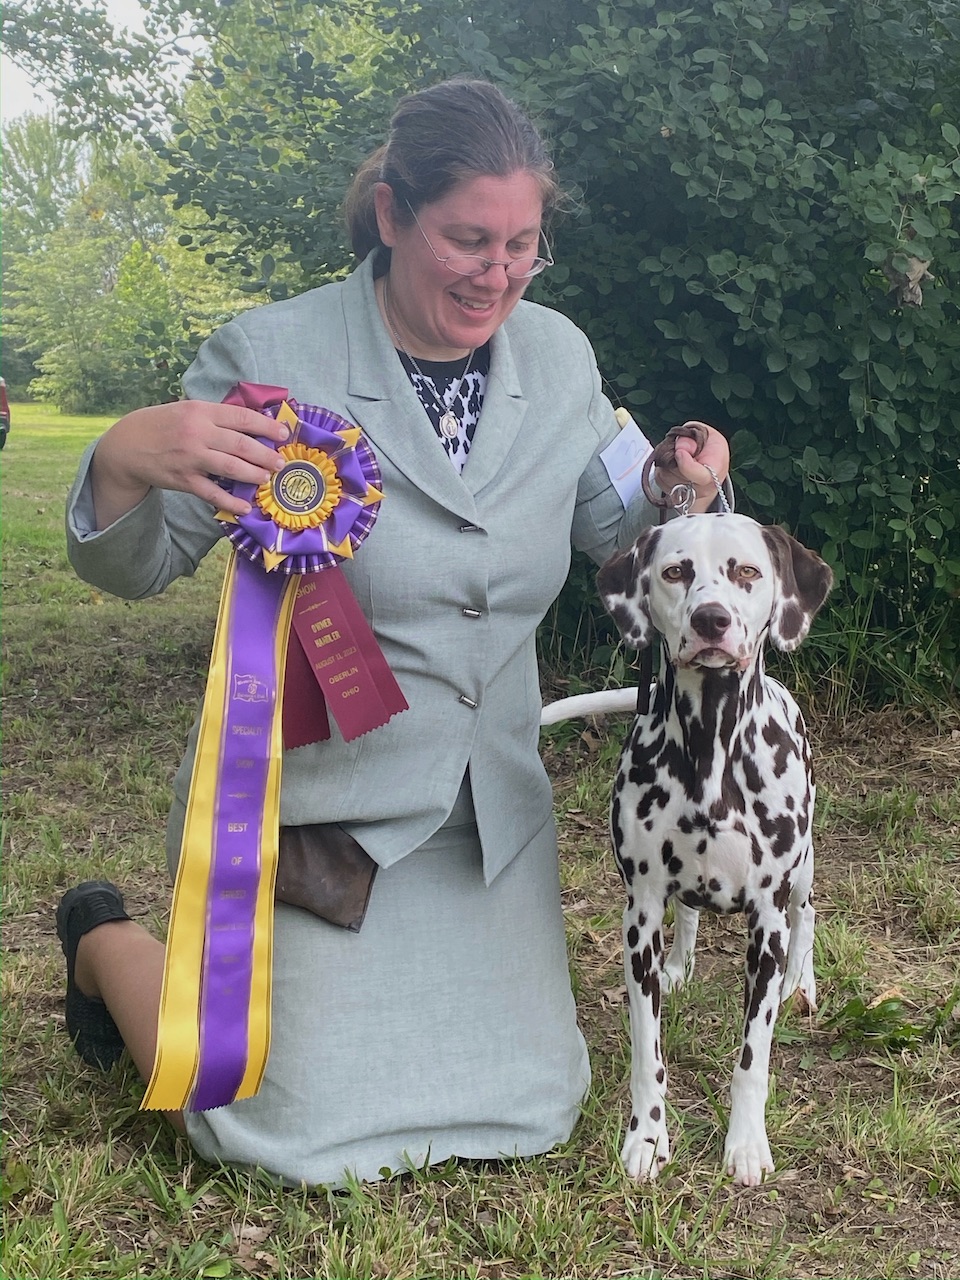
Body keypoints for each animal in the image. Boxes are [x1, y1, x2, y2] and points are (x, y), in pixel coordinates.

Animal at [543, 512, 832, 1185]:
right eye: (676, 572)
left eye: (747, 570)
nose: (711, 620)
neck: (710, 751)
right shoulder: (639, 915)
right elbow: (647, 1053)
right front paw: (647, 1138)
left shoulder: (767, 921)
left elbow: (753, 1058)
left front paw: (746, 1143)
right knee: (690, 913)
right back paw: (682, 964)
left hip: (803, 870)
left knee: (808, 914)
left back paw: (800, 983)